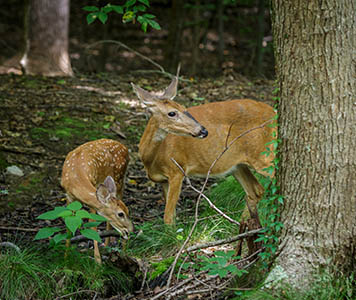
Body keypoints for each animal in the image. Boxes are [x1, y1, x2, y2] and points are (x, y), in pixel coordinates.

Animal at [132, 74, 276, 225]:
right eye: (172, 113)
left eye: (184, 108)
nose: (203, 130)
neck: (151, 159)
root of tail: (274, 112)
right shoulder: (164, 180)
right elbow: (172, 216)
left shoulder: (177, 170)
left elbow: (168, 217)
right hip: (237, 165)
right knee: (255, 191)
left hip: (264, 155)